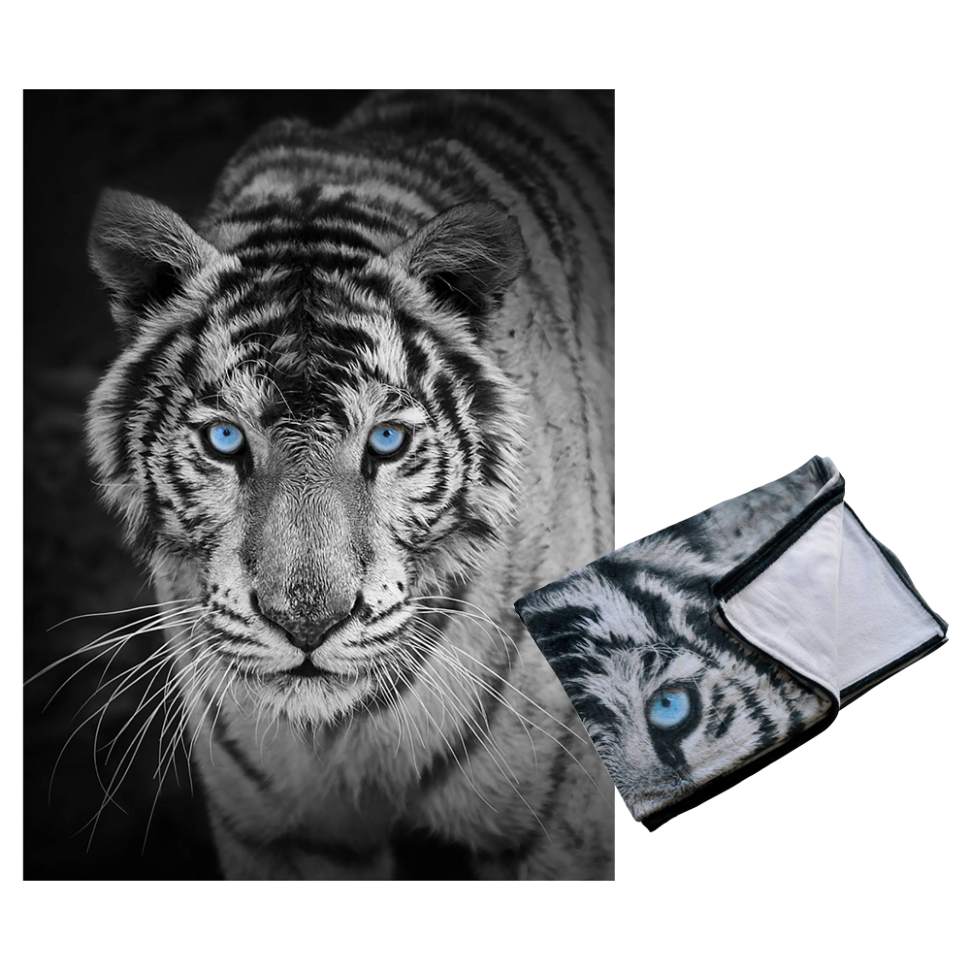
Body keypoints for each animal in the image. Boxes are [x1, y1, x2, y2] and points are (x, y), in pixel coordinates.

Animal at [83, 90, 615, 880]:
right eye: (225, 440)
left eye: (386, 442)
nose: (307, 624)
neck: (344, 734)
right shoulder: (284, 834)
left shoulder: (556, 824)